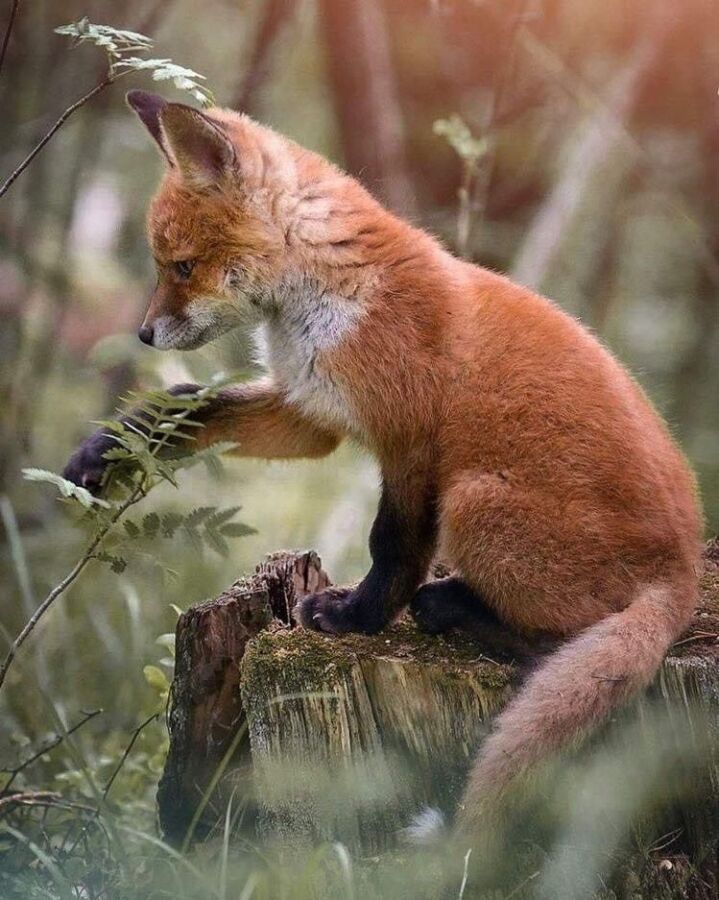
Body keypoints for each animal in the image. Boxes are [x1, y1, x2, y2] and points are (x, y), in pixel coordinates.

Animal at [64, 90, 702, 844]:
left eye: (181, 267)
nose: (142, 334)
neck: (333, 296)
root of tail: (685, 571)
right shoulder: (308, 411)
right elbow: (195, 408)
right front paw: (114, 445)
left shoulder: (409, 440)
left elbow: (391, 545)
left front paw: (357, 615)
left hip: (474, 503)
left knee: (555, 641)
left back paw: (451, 608)